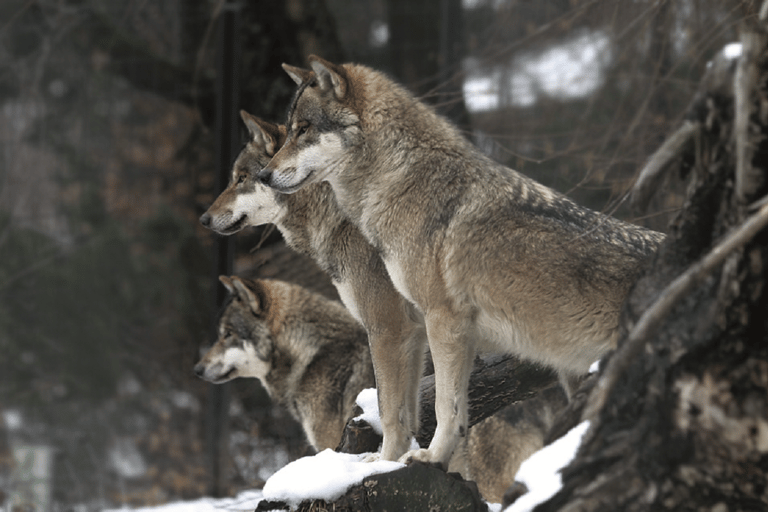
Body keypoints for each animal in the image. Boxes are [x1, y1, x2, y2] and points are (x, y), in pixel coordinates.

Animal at [258, 56, 664, 468]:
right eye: (290, 131)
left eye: (303, 129)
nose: (264, 174)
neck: (400, 178)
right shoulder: (441, 333)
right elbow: (432, 409)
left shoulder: (439, 320)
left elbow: (437, 406)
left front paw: (427, 457)